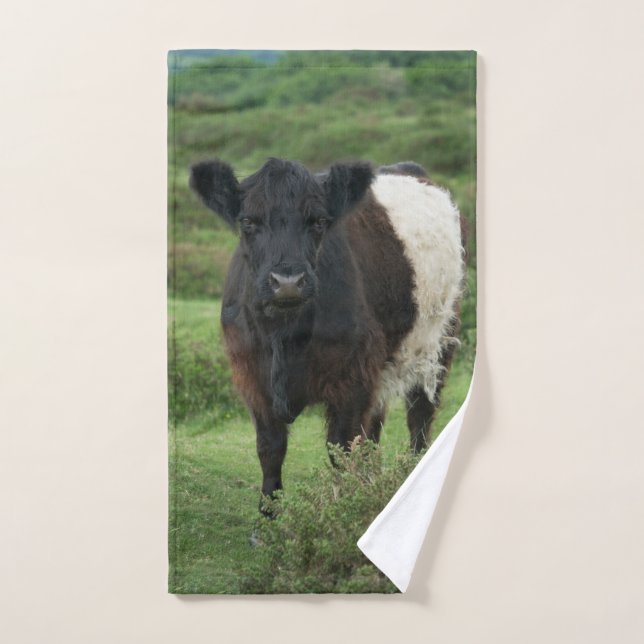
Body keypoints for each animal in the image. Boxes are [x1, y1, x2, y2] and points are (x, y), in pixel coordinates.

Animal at [189, 157, 464, 512]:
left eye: (319, 221)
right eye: (248, 221)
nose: (288, 282)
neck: (285, 334)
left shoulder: (352, 377)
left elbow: (343, 449)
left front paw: (345, 507)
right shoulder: (252, 376)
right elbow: (270, 447)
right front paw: (269, 516)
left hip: (438, 341)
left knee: (420, 415)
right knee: (376, 426)